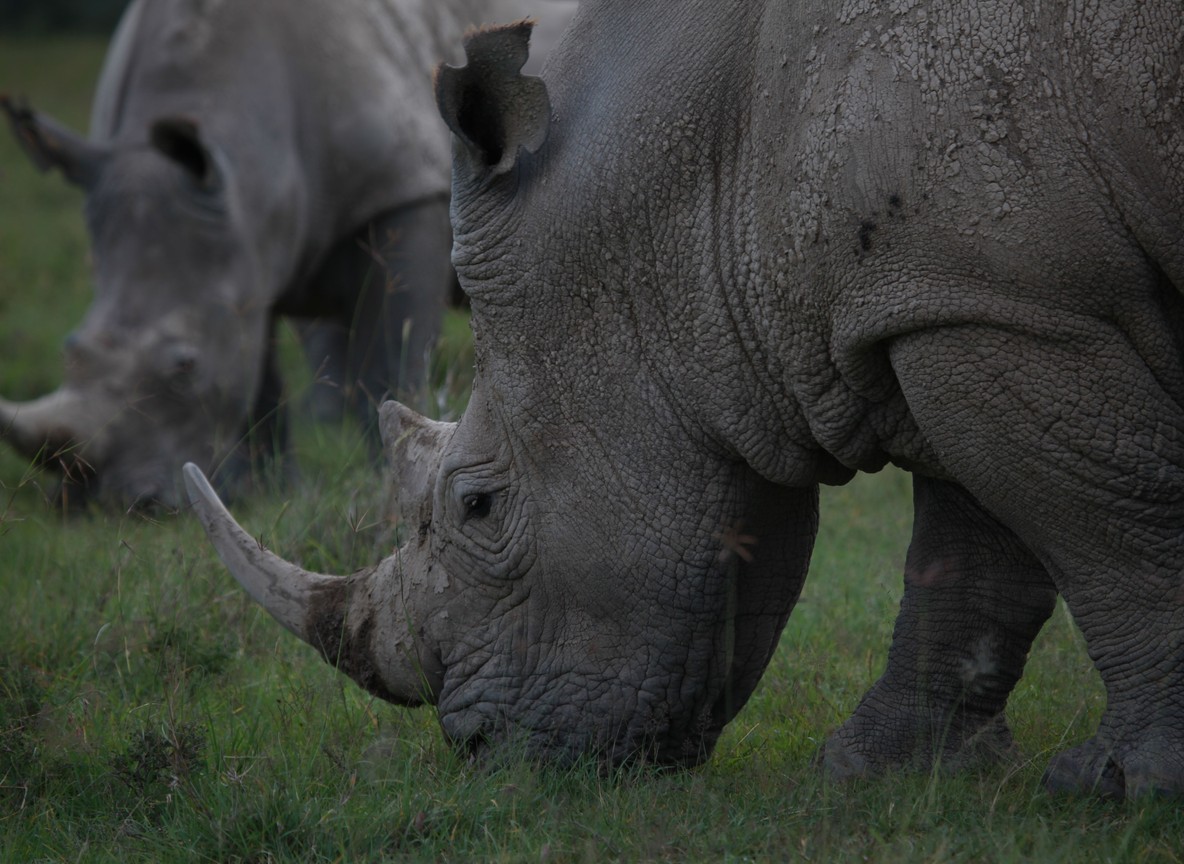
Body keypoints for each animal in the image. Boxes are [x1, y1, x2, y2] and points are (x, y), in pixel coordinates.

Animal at [0, 0, 574, 509]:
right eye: (70, 348)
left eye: (185, 366)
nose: (107, 505)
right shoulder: (247, 250)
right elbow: (258, 377)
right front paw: (261, 493)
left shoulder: (402, 191)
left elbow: (391, 357)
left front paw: (388, 482)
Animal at [186, 0, 1184, 798]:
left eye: (478, 506)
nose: (476, 753)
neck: (704, 176)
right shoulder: (942, 298)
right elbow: (973, 548)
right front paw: (881, 773)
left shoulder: (1010, 304)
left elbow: (1107, 527)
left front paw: (1126, 784)